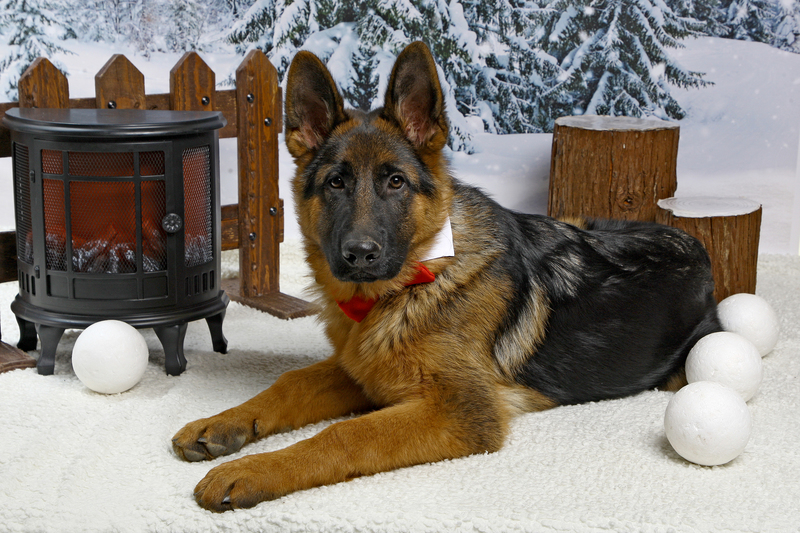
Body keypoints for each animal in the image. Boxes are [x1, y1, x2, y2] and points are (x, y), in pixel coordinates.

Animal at [172, 41, 722, 512]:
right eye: (336, 183)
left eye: (396, 182)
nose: (359, 255)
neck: (412, 283)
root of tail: (699, 250)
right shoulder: (362, 372)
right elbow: (289, 383)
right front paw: (222, 424)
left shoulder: (460, 412)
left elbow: (345, 433)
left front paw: (252, 470)